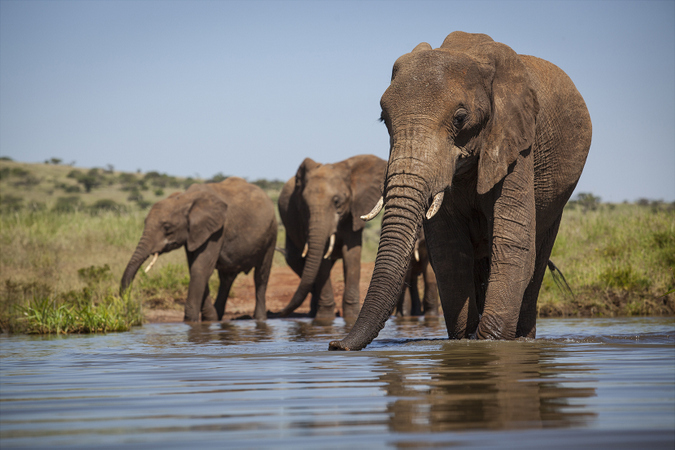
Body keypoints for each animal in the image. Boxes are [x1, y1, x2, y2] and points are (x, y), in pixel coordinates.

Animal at [121, 178, 278, 322]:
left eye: (167, 227)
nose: (128, 309)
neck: (185, 198)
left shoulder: (216, 231)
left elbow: (200, 268)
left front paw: (191, 321)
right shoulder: (194, 234)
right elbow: (196, 268)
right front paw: (210, 319)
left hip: (271, 233)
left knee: (261, 275)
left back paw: (259, 319)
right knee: (227, 278)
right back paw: (218, 316)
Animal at [278, 154, 386, 320]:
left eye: (336, 201)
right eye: (304, 205)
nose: (280, 312)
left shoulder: (353, 212)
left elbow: (351, 255)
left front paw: (351, 317)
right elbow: (321, 260)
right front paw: (325, 319)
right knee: (296, 260)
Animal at [332, 32, 592, 352]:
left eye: (459, 118)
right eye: (384, 119)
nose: (336, 345)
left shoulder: (516, 142)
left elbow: (514, 241)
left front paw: (489, 342)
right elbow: (448, 251)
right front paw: (464, 341)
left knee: (537, 254)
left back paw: (524, 337)